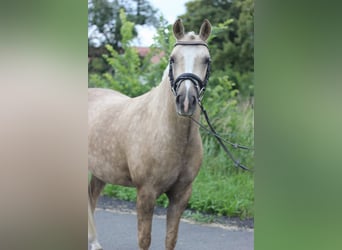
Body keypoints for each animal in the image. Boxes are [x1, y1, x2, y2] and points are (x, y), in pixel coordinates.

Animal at [88, 18, 211, 249]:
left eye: (206, 60)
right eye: (172, 59)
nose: (186, 101)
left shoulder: (181, 194)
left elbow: (170, 239)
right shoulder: (146, 193)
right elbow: (144, 239)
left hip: (100, 172)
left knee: (90, 197)